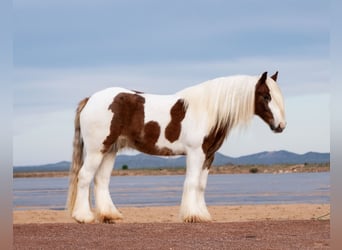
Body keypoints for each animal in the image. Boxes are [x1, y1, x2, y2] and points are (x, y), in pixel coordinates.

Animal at [66, 71, 286, 224]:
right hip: (97, 150)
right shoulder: (195, 153)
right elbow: (191, 182)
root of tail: (90, 99)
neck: (207, 110)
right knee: (84, 177)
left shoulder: (209, 155)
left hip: (109, 150)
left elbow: (201, 185)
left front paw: (203, 214)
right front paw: (192, 216)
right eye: (266, 96)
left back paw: (109, 215)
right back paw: (83, 217)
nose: (281, 126)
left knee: (101, 180)